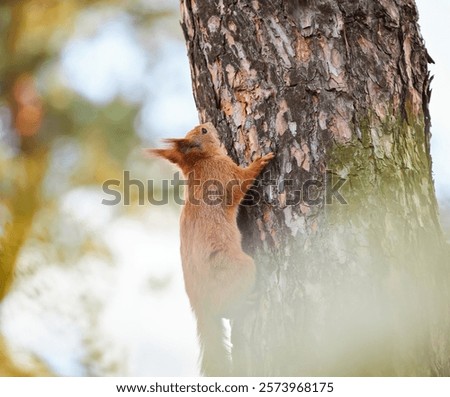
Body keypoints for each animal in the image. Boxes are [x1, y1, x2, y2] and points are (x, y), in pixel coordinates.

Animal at [148, 122, 274, 376]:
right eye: (203, 132)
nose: (208, 124)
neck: (199, 164)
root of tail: (199, 303)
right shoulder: (224, 173)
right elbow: (242, 180)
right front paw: (261, 161)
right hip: (238, 267)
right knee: (225, 308)